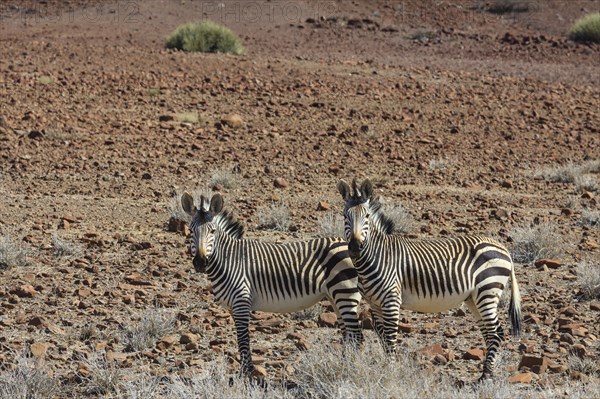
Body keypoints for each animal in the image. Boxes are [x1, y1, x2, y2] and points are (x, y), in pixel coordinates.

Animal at [180, 192, 364, 376]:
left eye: (212, 231)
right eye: (191, 231)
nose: (200, 262)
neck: (229, 260)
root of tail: (346, 244)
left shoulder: (241, 303)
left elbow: (243, 340)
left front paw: (246, 374)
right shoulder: (234, 307)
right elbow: (241, 340)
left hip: (345, 293)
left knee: (357, 336)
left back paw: (352, 368)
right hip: (335, 296)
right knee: (348, 335)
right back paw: (343, 365)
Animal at [338, 179, 520, 382]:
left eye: (367, 216)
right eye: (345, 216)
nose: (355, 247)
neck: (377, 257)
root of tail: (502, 247)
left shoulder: (392, 300)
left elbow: (391, 337)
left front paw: (390, 371)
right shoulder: (374, 304)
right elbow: (383, 337)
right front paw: (385, 369)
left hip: (487, 290)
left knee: (496, 332)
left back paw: (486, 376)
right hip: (474, 298)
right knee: (489, 332)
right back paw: (488, 373)